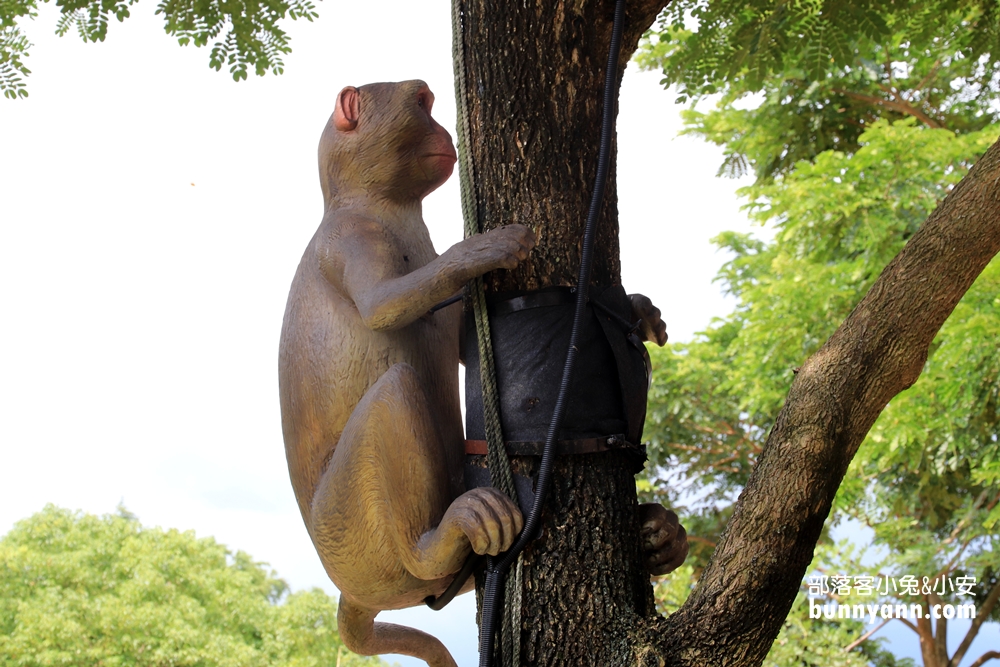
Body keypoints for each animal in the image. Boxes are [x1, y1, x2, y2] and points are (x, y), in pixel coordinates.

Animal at [282, 79, 684, 667]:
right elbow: (384, 306)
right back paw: (439, 538)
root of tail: (350, 590)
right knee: (395, 392)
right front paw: (482, 250)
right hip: (351, 533)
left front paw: (640, 310)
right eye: (421, 103)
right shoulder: (352, 238)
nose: (446, 133)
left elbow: (453, 339)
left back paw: (659, 535)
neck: (375, 204)